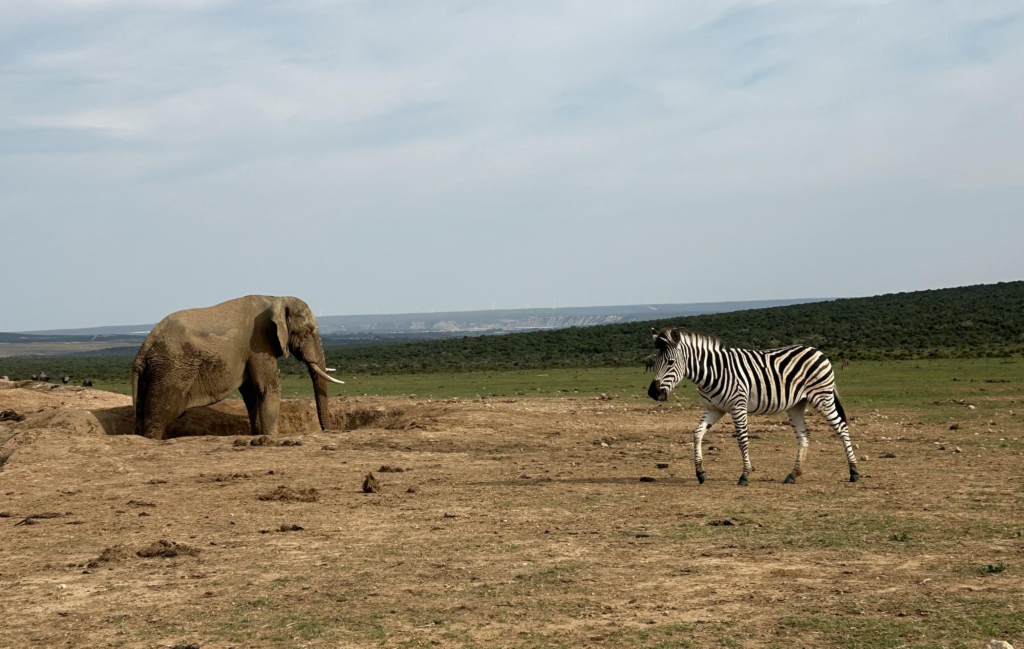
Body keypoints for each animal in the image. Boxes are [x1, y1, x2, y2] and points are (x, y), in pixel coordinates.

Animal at [132, 295, 344, 440]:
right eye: (309, 331)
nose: (327, 431)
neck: (275, 298)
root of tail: (143, 348)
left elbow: (252, 393)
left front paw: (258, 434)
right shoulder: (259, 342)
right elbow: (268, 387)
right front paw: (270, 437)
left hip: (154, 372)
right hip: (170, 370)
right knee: (159, 415)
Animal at [646, 328, 859, 486]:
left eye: (671, 362)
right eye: (654, 362)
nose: (653, 393)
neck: (712, 373)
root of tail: (817, 351)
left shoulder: (738, 406)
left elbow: (742, 439)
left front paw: (745, 475)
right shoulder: (715, 409)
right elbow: (697, 433)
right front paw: (700, 472)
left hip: (822, 397)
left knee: (841, 427)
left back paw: (854, 472)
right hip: (796, 404)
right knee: (804, 436)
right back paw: (793, 474)